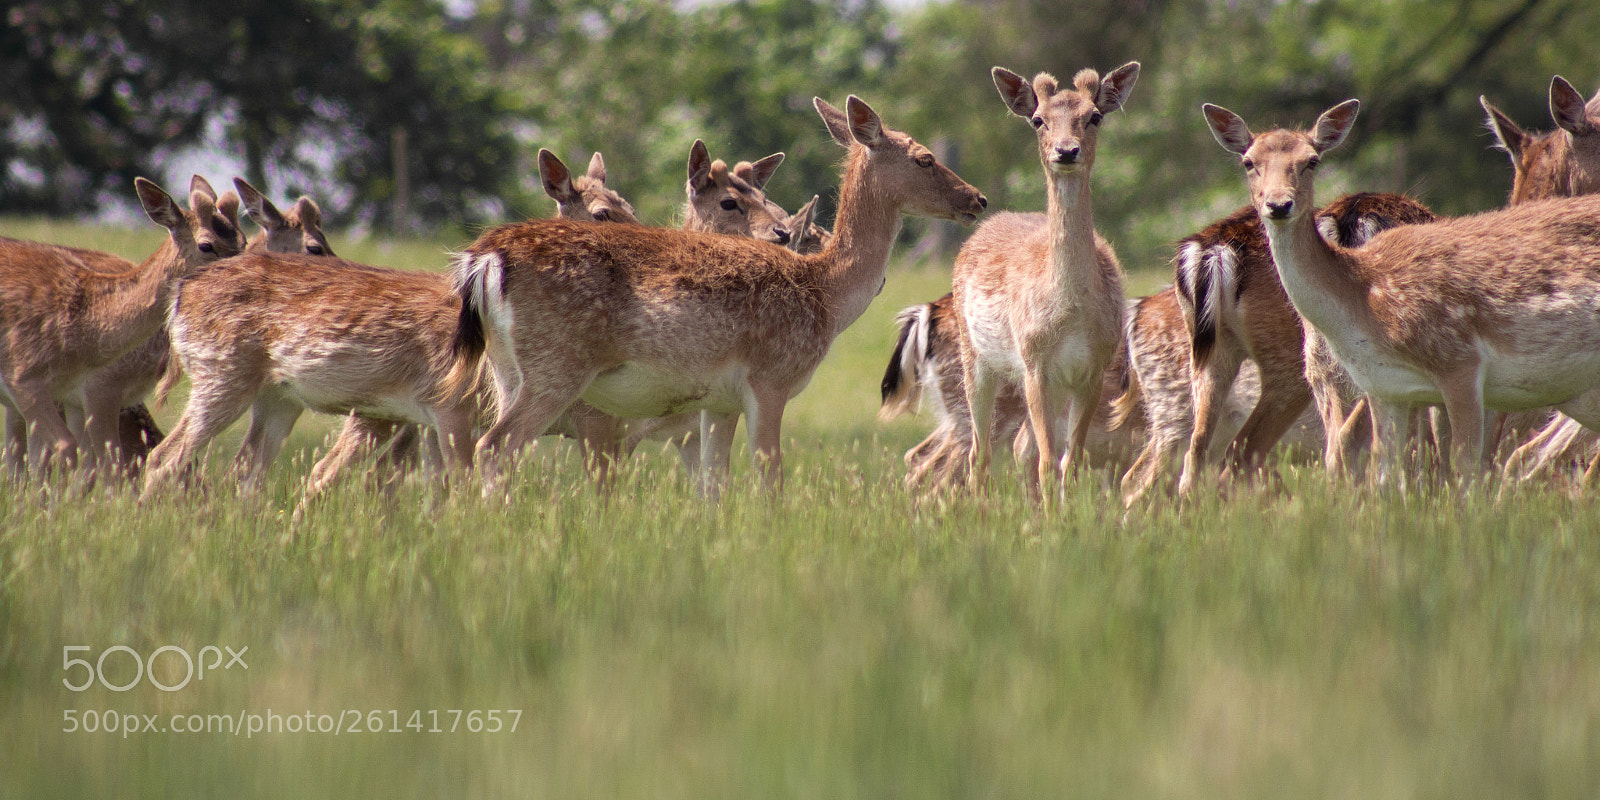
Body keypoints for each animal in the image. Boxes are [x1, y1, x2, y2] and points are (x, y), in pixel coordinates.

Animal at [452, 96, 986, 494]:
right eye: (924, 158)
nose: (978, 199)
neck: (825, 294)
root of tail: (484, 258)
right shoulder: (769, 378)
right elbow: (770, 482)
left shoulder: (718, 401)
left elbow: (714, 489)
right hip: (558, 366)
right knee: (495, 447)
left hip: (508, 371)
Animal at [950, 63, 1139, 496]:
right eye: (1038, 120)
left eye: (1095, 116)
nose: (1066, 151)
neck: (1070, 311)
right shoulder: (1035, 362)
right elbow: (1049, 462)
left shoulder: (1091, 369)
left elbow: (1071, 460)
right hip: (975, 356)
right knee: (980, 453)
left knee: (1020, 446)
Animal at [1203, 99, 1600, 488]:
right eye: (1248, 162)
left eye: (1311, 160)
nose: (1278, 204)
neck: (1364, 298)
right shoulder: (1386, 388)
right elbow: (1388, 475)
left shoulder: (1460, 362)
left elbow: (1465, 471)